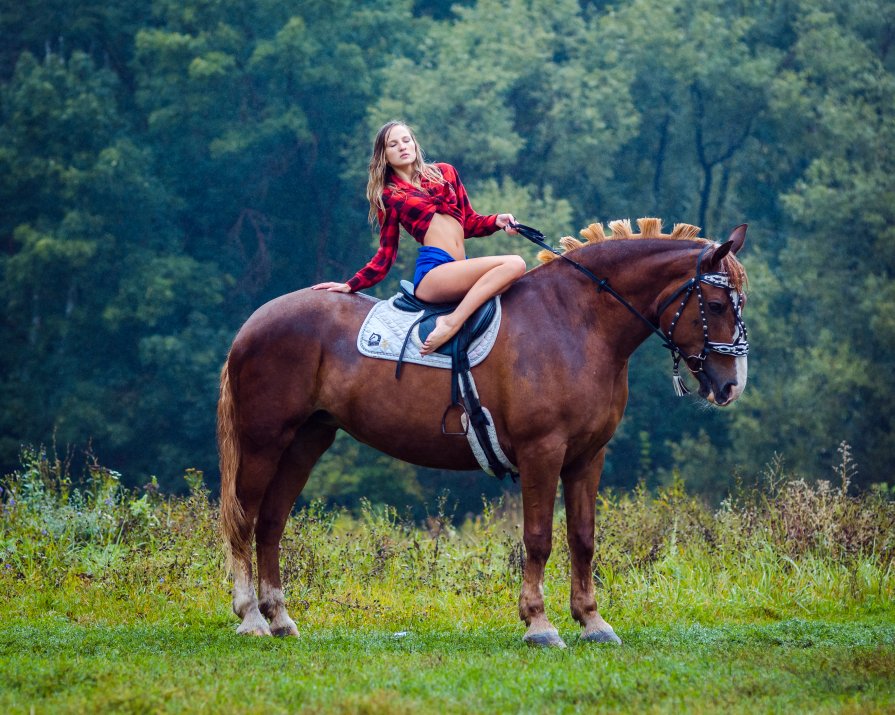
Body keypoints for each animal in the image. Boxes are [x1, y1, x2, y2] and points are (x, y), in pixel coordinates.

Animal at [217, 215, 748, 648]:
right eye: (718, 304)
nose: (731, 385)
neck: (575, 323)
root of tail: (254, 322)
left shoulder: (587, 456)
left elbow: (583, 538)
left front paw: (592, 621)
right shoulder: (542, 452)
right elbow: (539, 538)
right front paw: (539, 624)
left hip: (306, 442)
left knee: (271, 524)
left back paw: (279, 617)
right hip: (265, 441)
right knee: (244, 519)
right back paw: (252, 618)